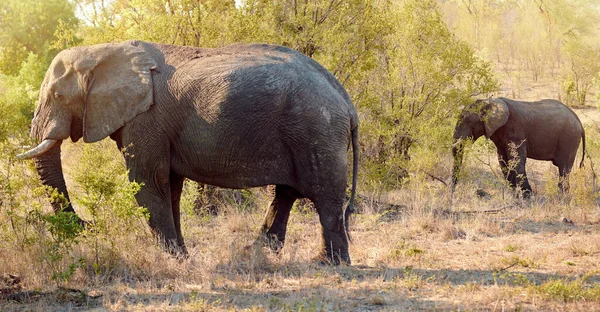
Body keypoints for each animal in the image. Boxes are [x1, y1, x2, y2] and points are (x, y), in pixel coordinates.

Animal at [16, 40, 358, 264]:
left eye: (57, 96)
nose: (88, 224)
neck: (102, 50)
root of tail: (346, 100)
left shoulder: (146, 119)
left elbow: (147, 183)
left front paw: (175, 259)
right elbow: (169, 187)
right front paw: (182, 255)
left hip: (317, 131)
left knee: (324, 195)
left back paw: (330, 264)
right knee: (288, 193)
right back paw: (258, 253)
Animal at [452, 97, 584, 197]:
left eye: (468, 121)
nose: (453, 190)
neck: (488, 101)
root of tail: (578, 120)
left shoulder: (515, 130)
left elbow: (517, 159)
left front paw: (527, 196)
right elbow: (503, 160)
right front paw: (514, 193)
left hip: (569, 139)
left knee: (564, 168)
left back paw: (561, 196)